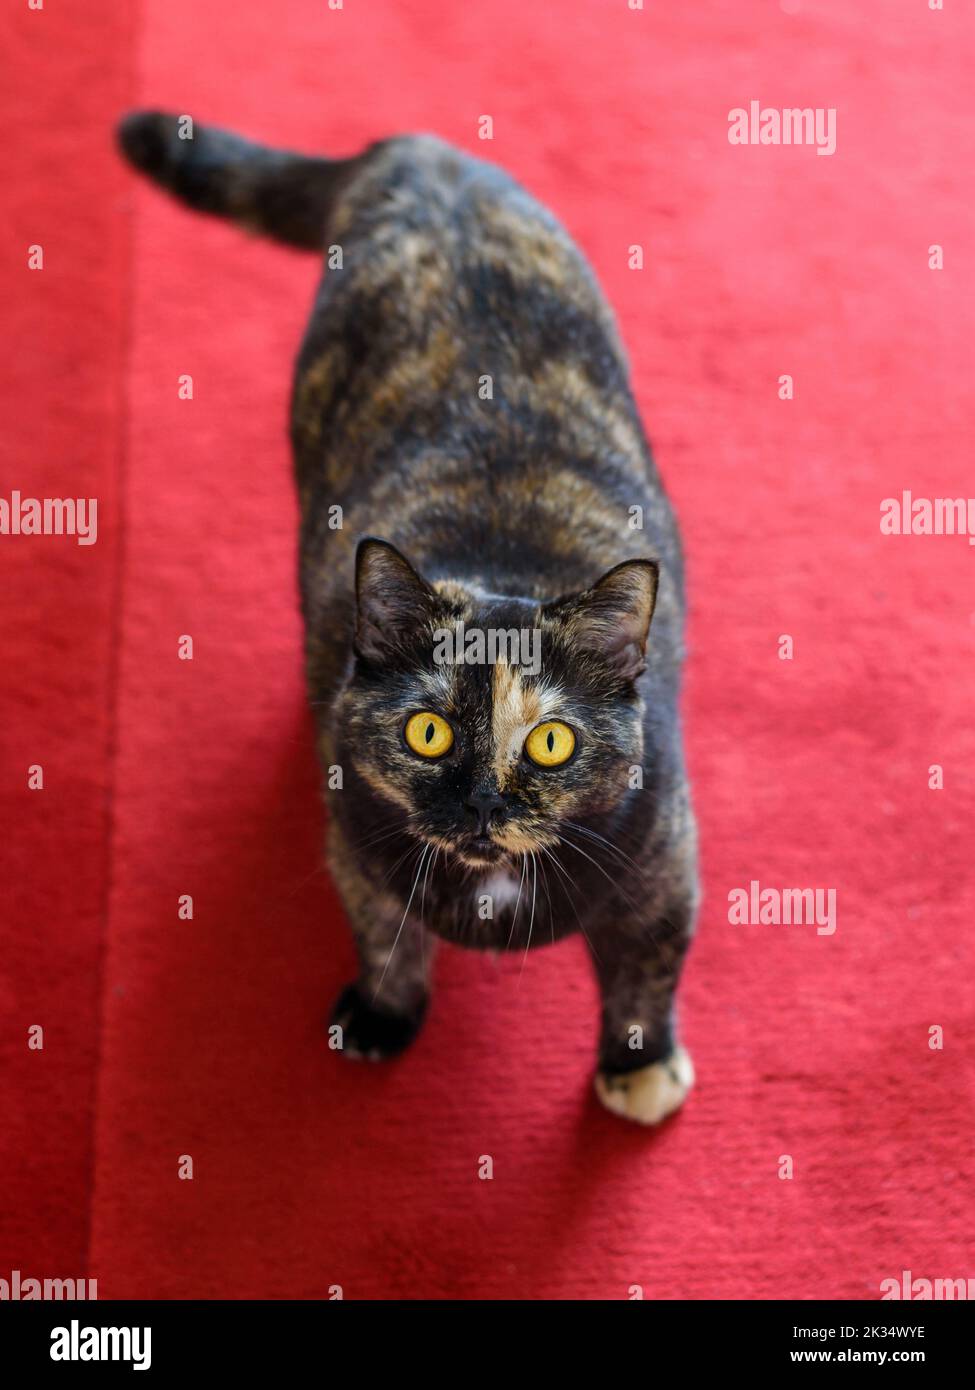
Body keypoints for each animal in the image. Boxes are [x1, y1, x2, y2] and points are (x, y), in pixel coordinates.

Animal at [119, 113, 700, 1123]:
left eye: (551, 742)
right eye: (427, 731)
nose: (482, 802)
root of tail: (420, 152)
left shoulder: (666, 862)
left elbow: (646, 970)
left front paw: (638, 1068)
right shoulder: (352, 843)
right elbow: (384, 930)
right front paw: (383, 1015)